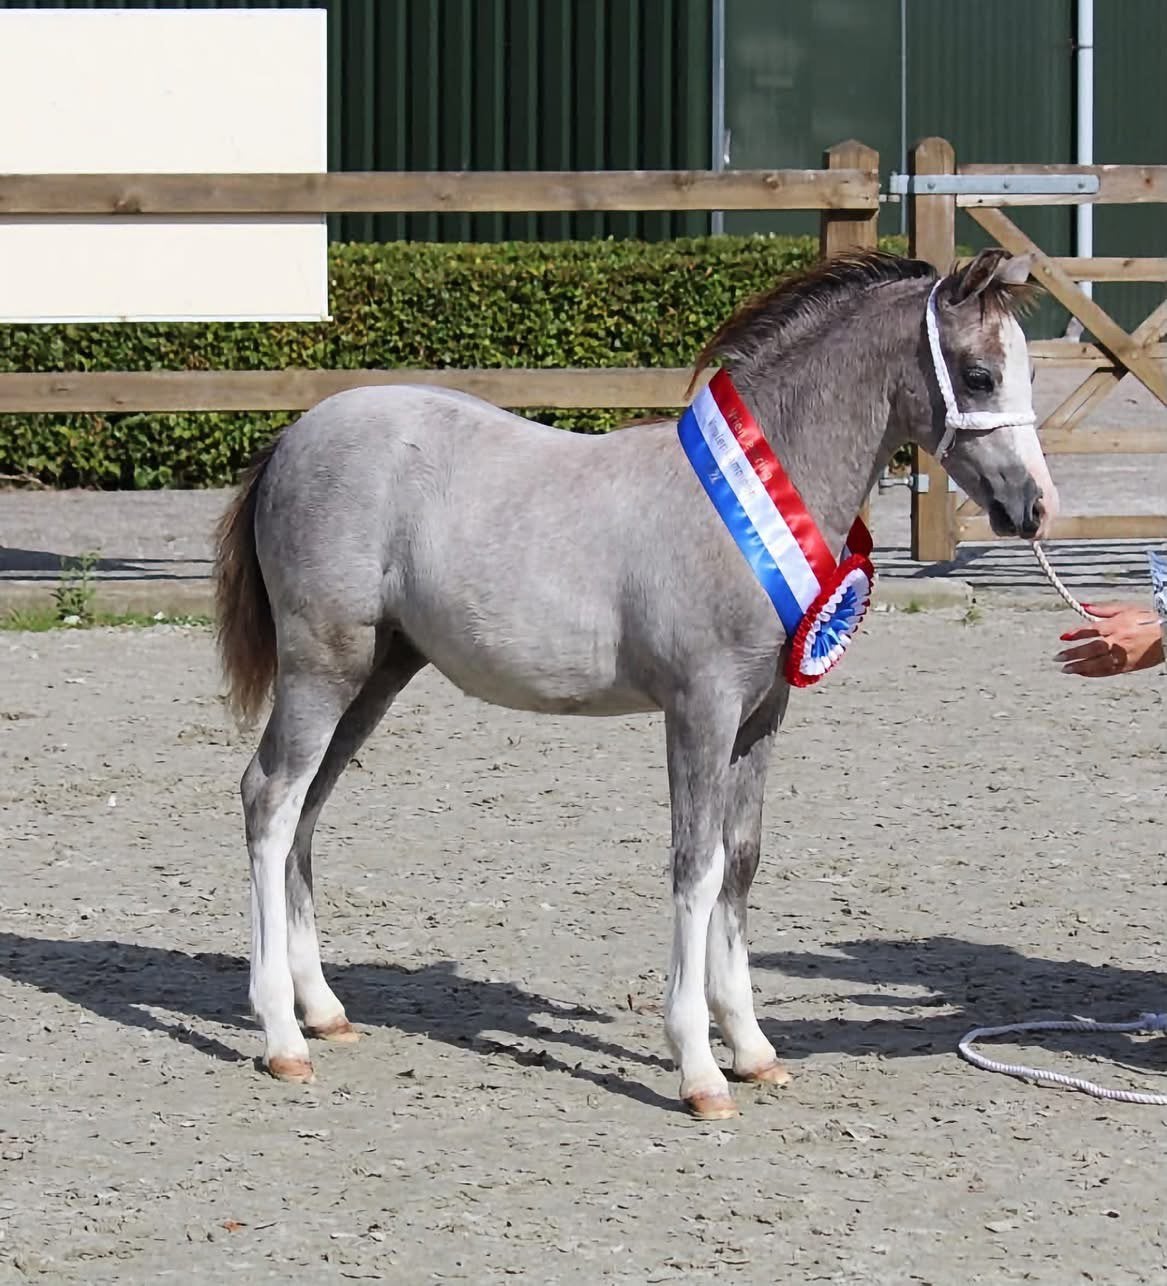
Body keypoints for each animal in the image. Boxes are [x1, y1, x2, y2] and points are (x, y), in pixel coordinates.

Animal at [213, 247, 1057, 1119]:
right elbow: (696, 864)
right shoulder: (700, 707)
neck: (741, 503)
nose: (1032, 507)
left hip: (376, 674)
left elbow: (741, 858)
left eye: (1026, 371)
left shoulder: (761, 713)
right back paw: (281, 1037)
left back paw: (323, 1011)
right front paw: (699, 1070)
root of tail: (293, 436)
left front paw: (752, 1049)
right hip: (322, 665)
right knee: (270, 800)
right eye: (980, 374)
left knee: (306, 811)